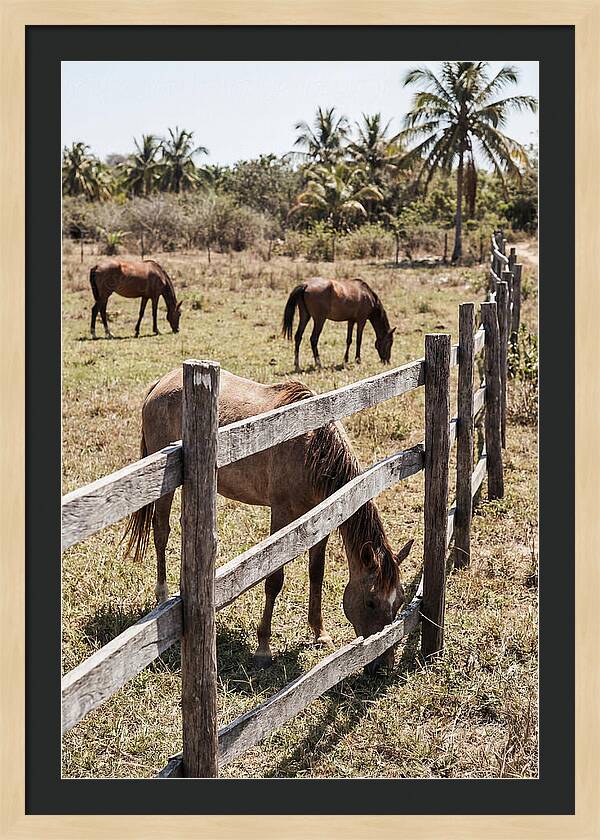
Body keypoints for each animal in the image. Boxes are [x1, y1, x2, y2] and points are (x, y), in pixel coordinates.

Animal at [123, 368, 414, 672]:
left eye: (399, 602)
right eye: (370, 602)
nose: (383, 664)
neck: (312, 447)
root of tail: (161, 383)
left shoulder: (321, 516)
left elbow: (317, 573)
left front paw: (319, 633)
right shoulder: (282, 513)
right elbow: (274, 579)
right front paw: (263, 648)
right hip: (163, 486)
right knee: (161, 532)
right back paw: (163, 595)